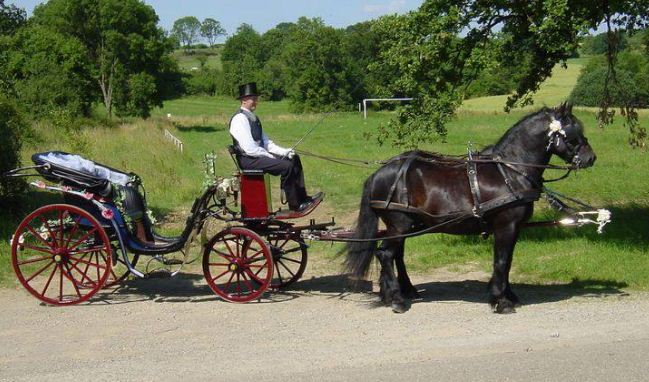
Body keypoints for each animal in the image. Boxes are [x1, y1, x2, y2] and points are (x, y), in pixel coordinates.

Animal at [346, 104, 596, 314]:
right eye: (573, 133)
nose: (590, 158)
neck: (511, 171)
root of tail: (378, 173)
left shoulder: (514, 229)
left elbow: (507, 262)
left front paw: (507, 295)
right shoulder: (506, 226)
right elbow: (501, 261)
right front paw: (501, 301)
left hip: (405, 225)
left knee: (396, 254)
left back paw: (398, 292)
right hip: (399, 223)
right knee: (385, 254)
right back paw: (397, 300)